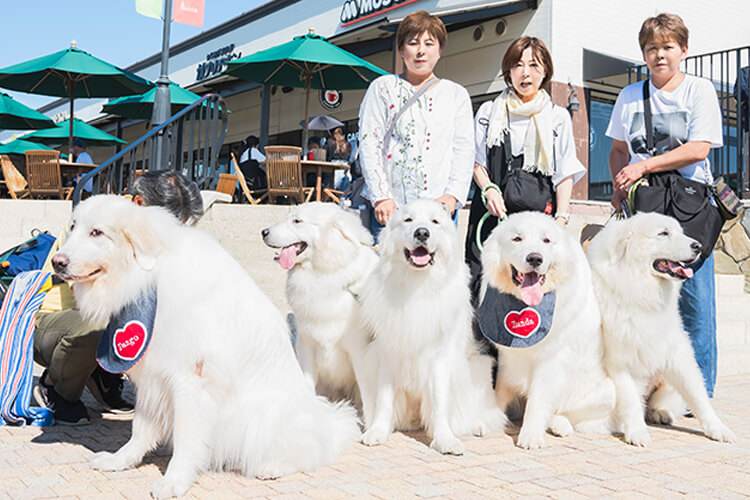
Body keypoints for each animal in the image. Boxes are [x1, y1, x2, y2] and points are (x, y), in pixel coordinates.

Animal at [54, 196, 360, 500]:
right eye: (73, 227)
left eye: (97, 232)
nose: (57, 262)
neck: (150, 276)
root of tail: (327, 426)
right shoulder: (153, 376)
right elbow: (140, 428)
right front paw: (121, 460)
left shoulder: (191, 381)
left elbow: (186, 438)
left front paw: (174, 480)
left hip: (262, 416)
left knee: (307, 453)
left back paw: (273, 466)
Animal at [264, 203, 382, 418]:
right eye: (288, 218)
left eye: (297, 221)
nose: (263, 232)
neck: (325, 273)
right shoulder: (307, 344)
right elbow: (307, 384)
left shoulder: (359, 349)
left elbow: (368, 396)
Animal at [358, 198, 506, 454]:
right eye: (408, 220)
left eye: (435, 222)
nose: (422, 232)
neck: (417, 285)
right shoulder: (388, 353)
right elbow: (385, 399)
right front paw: (378, 431)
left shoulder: (440, 358)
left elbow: (439, 403)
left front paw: (444, 439)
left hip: (477, 367)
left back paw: (476, 425)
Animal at [482, 211, 616, 450]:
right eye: (517, 239)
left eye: (546, 240)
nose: (535, 258)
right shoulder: (509, 357)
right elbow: (501, 390)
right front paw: (492, 417)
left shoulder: (551, 359)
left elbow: (538, 401)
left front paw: (530, 435)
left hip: (607, 391)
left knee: (563, 411)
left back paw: (559, 424)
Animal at [592, 211, 736, 446]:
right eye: (663, 233)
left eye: (680, 231)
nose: (698, 246)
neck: (640, 290)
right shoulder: (619, 362)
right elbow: (631, 400)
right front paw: (637, 433)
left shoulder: (679, 355)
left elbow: (698, 396)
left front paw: (718, 429)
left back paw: (661, 413)